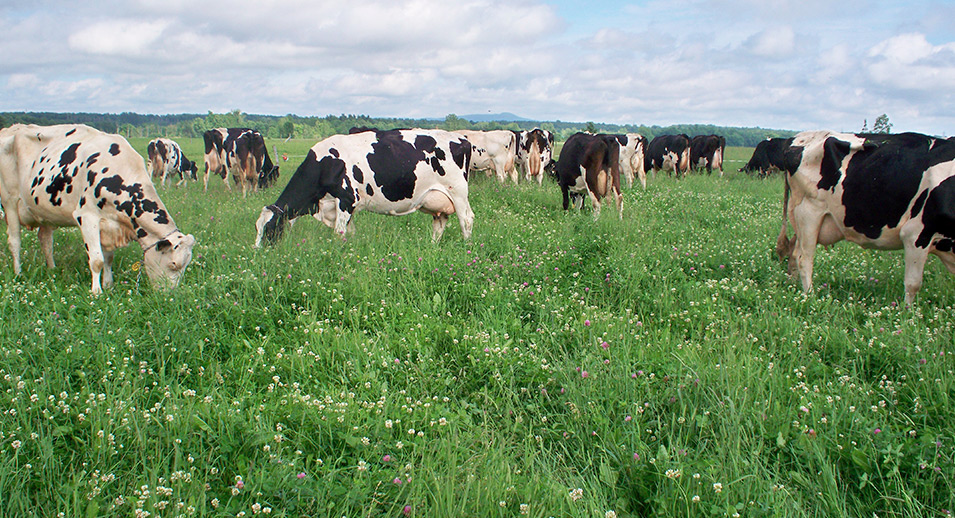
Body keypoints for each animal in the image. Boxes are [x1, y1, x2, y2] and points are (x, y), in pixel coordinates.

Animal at [0, 124, 196, 294]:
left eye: (185, 266)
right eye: (173, 264)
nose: (170, 295)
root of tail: (11, 129)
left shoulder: (110, 224)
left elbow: (108, 258)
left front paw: (108, 285)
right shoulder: (87, 217)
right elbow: (97, 260)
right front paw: (97, 292)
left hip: (43, 210)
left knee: (45, 240)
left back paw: (52, 269)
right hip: (10, 202)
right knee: (14, 241)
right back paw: (18, 273)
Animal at [255, 128, 474, 247]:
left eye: (270, 228)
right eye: (257, 227)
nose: (258, 251)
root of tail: (461, 138)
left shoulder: (346, 199)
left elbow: (339, 234)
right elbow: (349, 233)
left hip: (458, 192)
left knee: (466, 220)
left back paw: (467, 248)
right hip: (438, 199)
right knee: (440, 223)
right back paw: (432, 247)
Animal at [775, 130, 955, 304]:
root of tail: (798, 137)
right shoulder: (915, 234)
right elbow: (913, 283)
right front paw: (908, 312)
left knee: (793, 252)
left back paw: (794, 287)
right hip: (809, 213)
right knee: (803, 258)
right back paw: (810, 296)